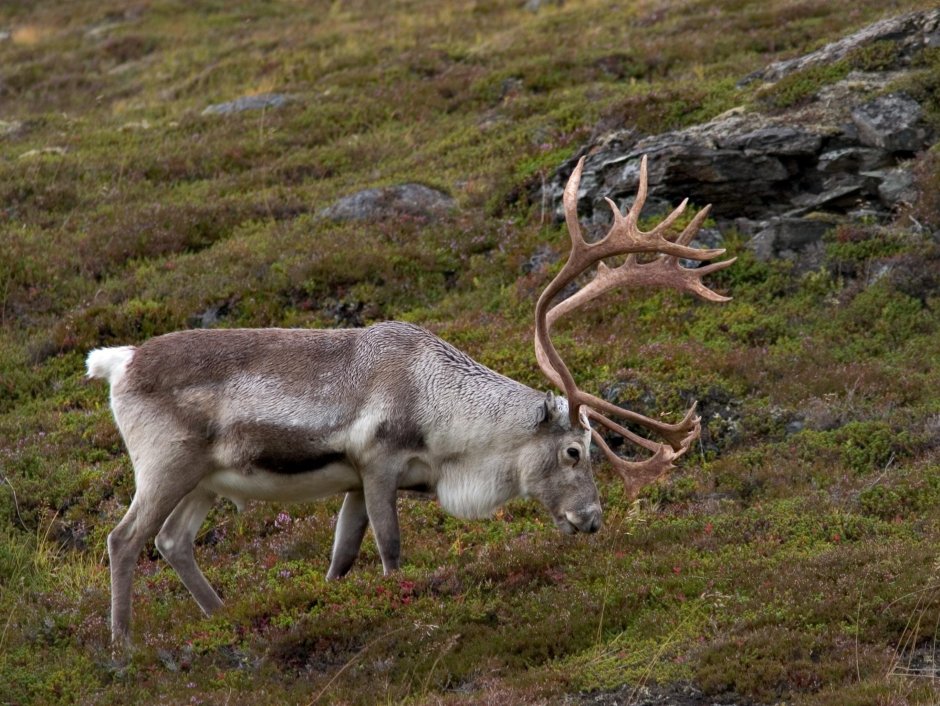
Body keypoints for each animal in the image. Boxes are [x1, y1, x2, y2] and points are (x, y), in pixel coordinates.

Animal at [86, 155, 734, 648]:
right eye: (575, 451)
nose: (591, 520)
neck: (442, 414)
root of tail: (119, 362)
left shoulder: (352, 482)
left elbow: (341, 559)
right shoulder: (377, 464)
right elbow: (391, 551)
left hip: (208, 480)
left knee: (172, 541)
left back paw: (224, 619)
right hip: (166, 465)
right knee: (125, 539)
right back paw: (122, 645)